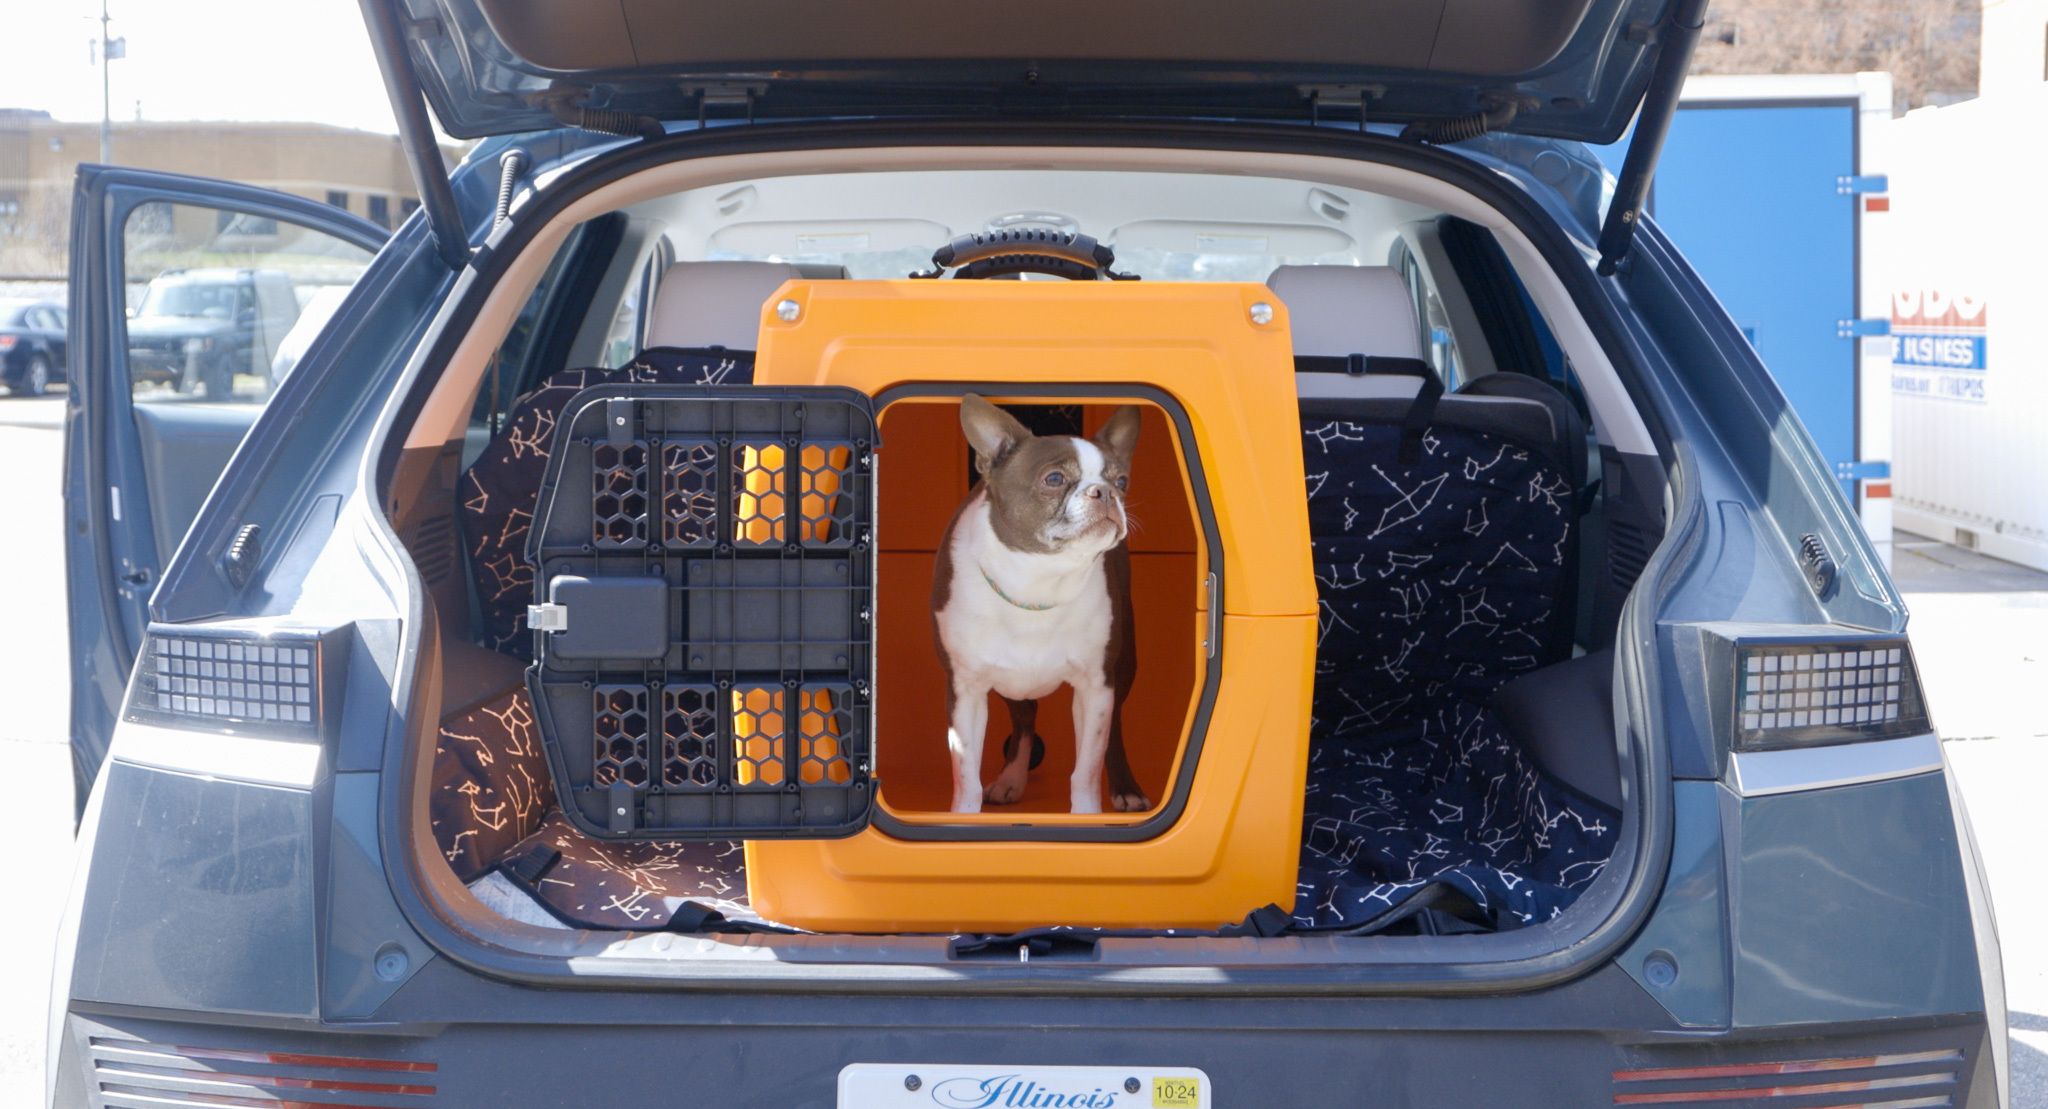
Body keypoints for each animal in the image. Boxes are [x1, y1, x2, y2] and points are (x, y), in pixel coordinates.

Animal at [933, 396, 1146, 818]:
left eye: (1121, 482)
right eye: (1054, 479)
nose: (1104, 492)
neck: (1040, 577)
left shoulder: (1095, 686)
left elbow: (1085, 771)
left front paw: (1087, 817)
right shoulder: (966, 689)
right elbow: (966, 774)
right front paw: (964, 816)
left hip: (1124, 662)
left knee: (1113, 727)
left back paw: (1126, 789)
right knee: (1025, 719)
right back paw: (1011, 779)